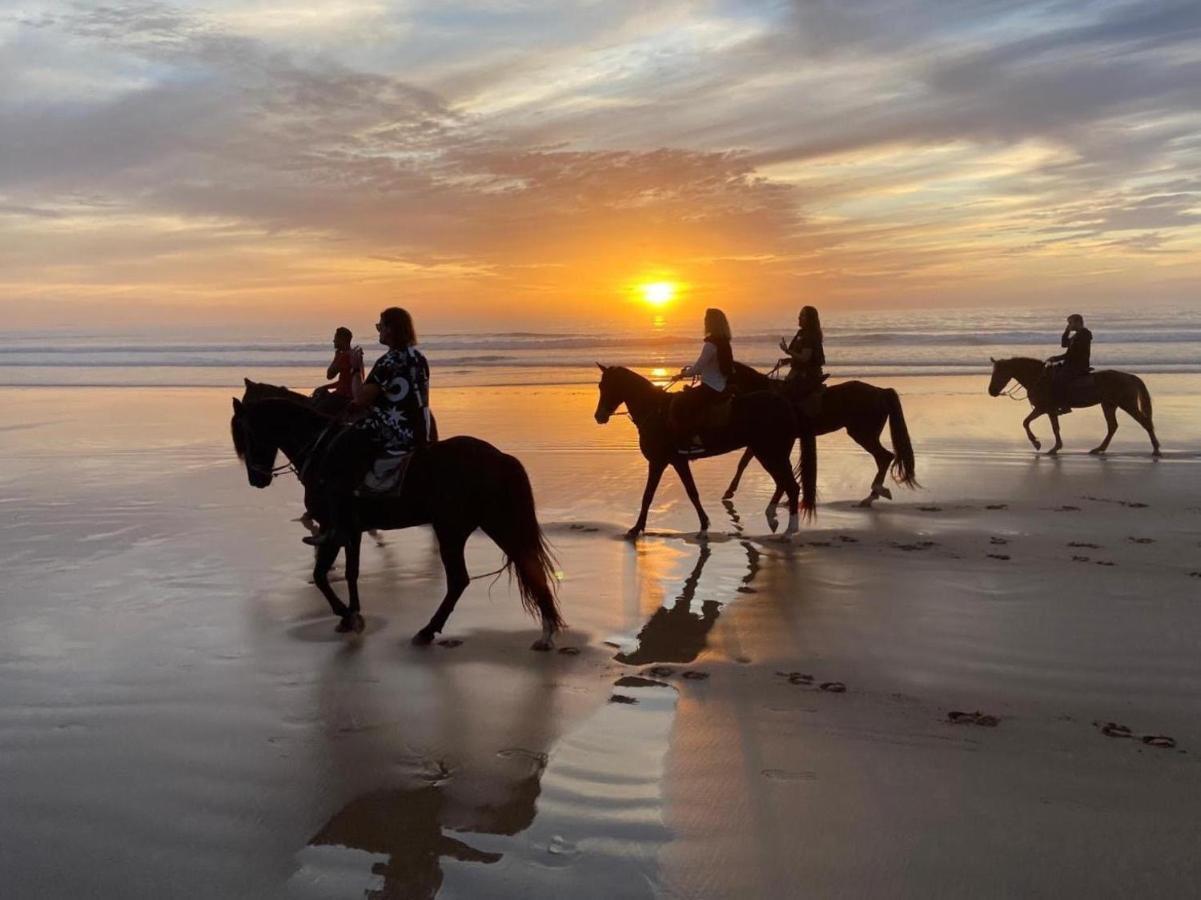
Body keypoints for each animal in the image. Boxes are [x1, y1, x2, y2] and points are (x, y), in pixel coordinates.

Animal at [231, 394, 564, 644]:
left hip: (452, 529)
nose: (256, 479)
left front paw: (347, 615)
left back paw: (428, 631)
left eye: (247, 434)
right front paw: (351, 614)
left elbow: (323, 575)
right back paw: (547, 630)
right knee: (526, 563)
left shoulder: (333, 527)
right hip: (493, 522)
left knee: (460, 579)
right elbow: (348, 572)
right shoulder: (351, 531)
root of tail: (500, 458)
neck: (321, 451)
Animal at [593, 362, 816, 538]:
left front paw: (636, 528)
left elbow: (651, 495)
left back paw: (788, 531)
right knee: (783, 484)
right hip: (771, 453)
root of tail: (786, 403)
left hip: (769, 453)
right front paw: (703, 524)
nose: (599, 416)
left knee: (790, 486)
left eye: (608, 386)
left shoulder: (660, 462)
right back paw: (774, 519)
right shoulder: (675, 461)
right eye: (600, 386)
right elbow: (690, 492)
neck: (655, 411)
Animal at [720, 360, 917, 509]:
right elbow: (744, 462)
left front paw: (729, 491)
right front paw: (730, 491)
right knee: (883, 458)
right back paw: (874, 495)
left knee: (884, 457)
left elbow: (745, 462)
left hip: (863, 434)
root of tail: (881, 392)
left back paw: (871, 496)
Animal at [984, 355, 1162, 456]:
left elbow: (1027, 423)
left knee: (1145, 422)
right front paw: (1054, 447)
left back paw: (1156, 449)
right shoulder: (1049, 411)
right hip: (1108, 405)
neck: (1039, 379)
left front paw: (1038, 443)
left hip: (1127, 404)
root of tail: (1130, 376)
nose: (991, 391)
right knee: (1112, 426)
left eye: (1000, 373)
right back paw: (1099, 448)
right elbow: (1050, 427)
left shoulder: (1043, 409)